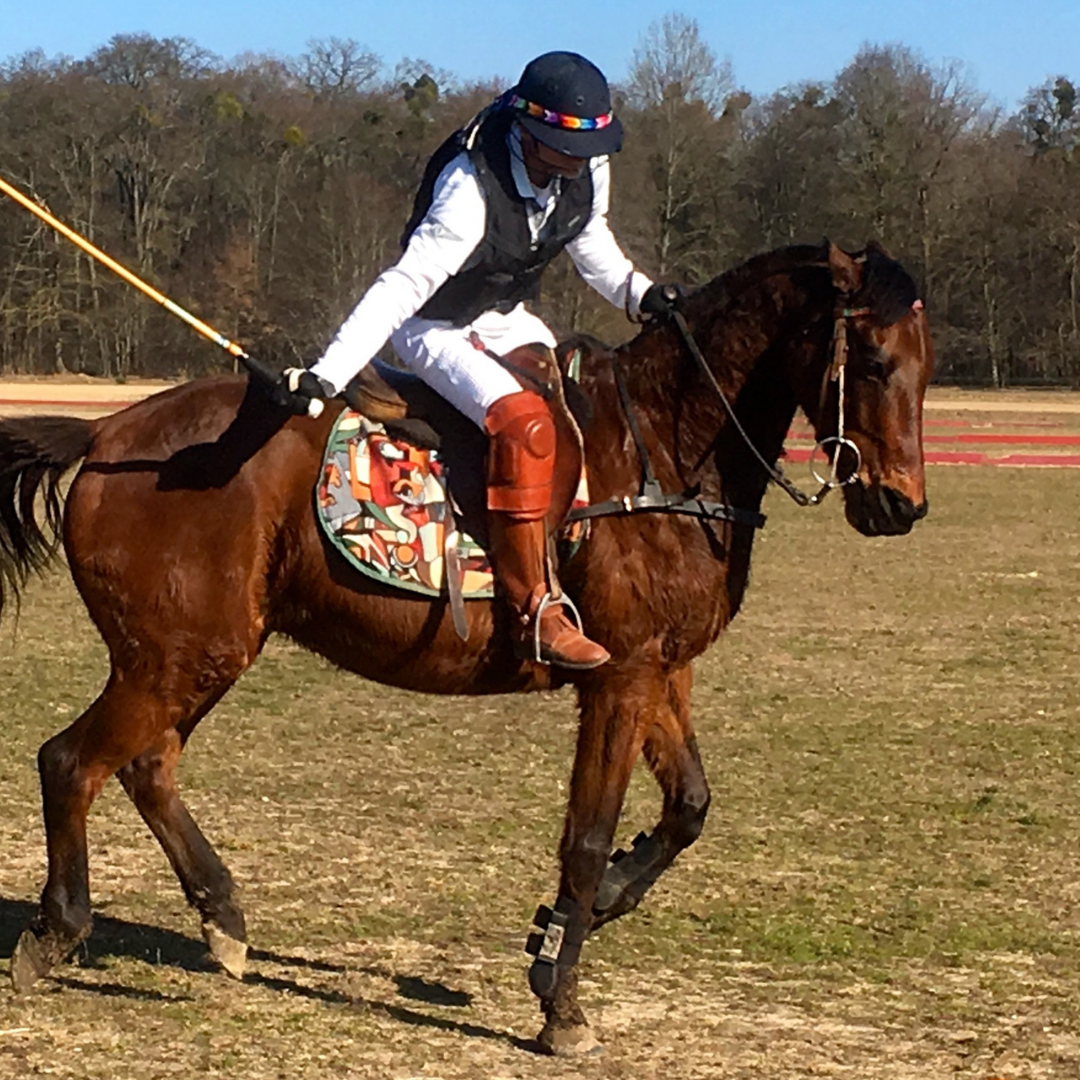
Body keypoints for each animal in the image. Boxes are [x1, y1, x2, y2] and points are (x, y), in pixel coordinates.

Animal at [0, 241, 932, 1055]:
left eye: (926, 367)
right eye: (873, 360)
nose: (901, 506)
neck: (664, 450)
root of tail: (108, 436)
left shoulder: (662, 669)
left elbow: (689, 807)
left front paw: (583, 912)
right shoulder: (619, 676)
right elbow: (586, 836)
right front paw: (561, 1003)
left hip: (199, 653)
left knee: (145, 764)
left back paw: (222, 917)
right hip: (176, 655)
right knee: (70, 761)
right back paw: (58, 931)